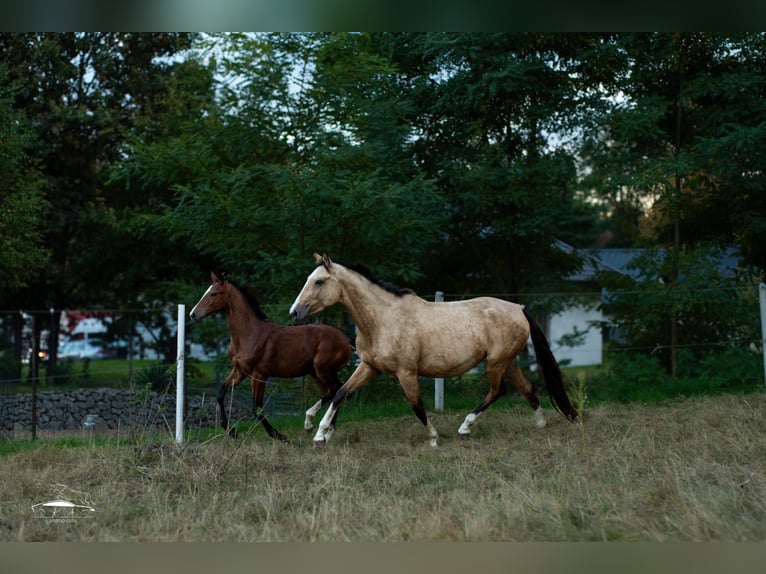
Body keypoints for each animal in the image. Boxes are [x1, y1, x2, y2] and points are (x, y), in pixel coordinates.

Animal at [190, 272, 352, 441]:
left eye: (214, 293)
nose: (193, 314)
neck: (249, 334)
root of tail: (345, 339)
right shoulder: (240, 371)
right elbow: (220, 393)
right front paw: (231, 431)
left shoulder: (259, 375)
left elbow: (256, 408)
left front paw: (279, 436)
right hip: (316, 373)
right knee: (332, 392)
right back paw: (323, 430)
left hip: (324, 370)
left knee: (337, 390)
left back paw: (318, 427)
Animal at [289, 253, 578, 447]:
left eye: (319, 282)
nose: (294, 313)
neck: (383, 319)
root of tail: (518, 308)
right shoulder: (369, 367)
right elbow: (340, 394)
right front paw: (319, 433)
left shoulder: (406, 373)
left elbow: (417, 406)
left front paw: (434, 437)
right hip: (508, 362)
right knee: (528, 388)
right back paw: (540, 424)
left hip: (496, 363)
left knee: (499, 391)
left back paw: (465, 427)